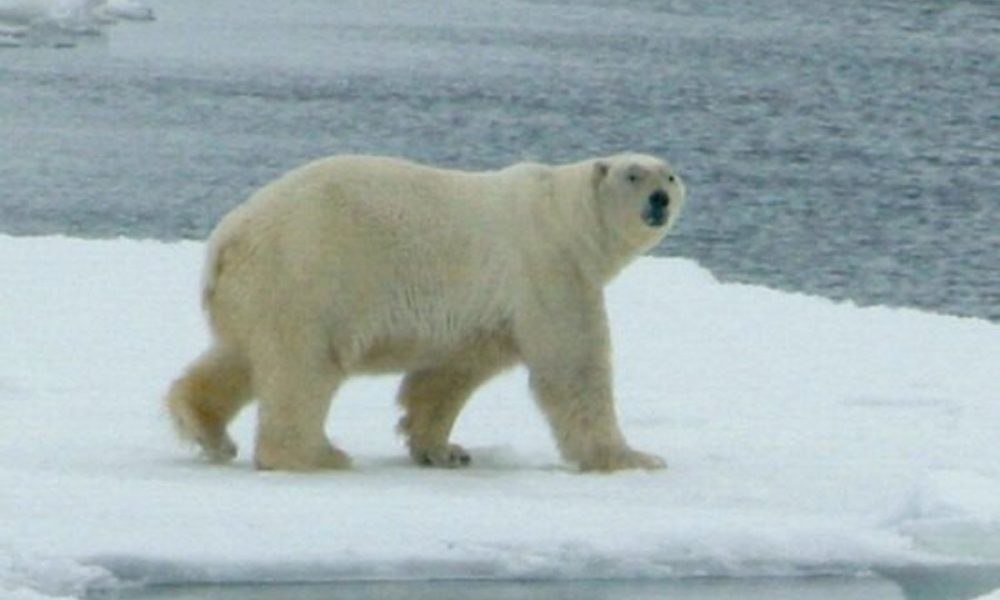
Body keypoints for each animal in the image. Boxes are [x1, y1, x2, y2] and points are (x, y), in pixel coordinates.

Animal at [166, 152, 688, 472]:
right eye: (633, 174)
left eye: (669, 175)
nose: (659, 199)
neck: (565, 215)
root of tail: (228, 236)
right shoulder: (548, 268)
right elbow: (573, 367)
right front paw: (634, 457)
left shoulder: (487, 307)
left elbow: (450, 373)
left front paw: (444, 448)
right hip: (310, 276)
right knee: (303, 366)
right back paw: (316, 454)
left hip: (257, 289)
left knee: (238, 356)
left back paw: (207, 429)